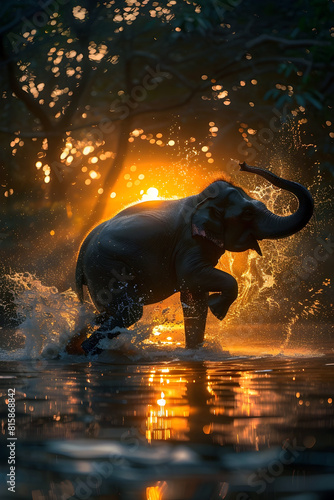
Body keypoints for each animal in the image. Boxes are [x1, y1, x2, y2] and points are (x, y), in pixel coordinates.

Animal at [75, 161, 314, 356]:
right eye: (248, 213)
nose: (243, 165)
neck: (202, 199)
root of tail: (81, 251)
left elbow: (195, 295)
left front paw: (195, 351)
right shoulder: (188, 243)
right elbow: (192, 277)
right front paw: (217, 308)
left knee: (111, 314)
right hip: (107, 268)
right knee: (129, 313)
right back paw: (88, 351)